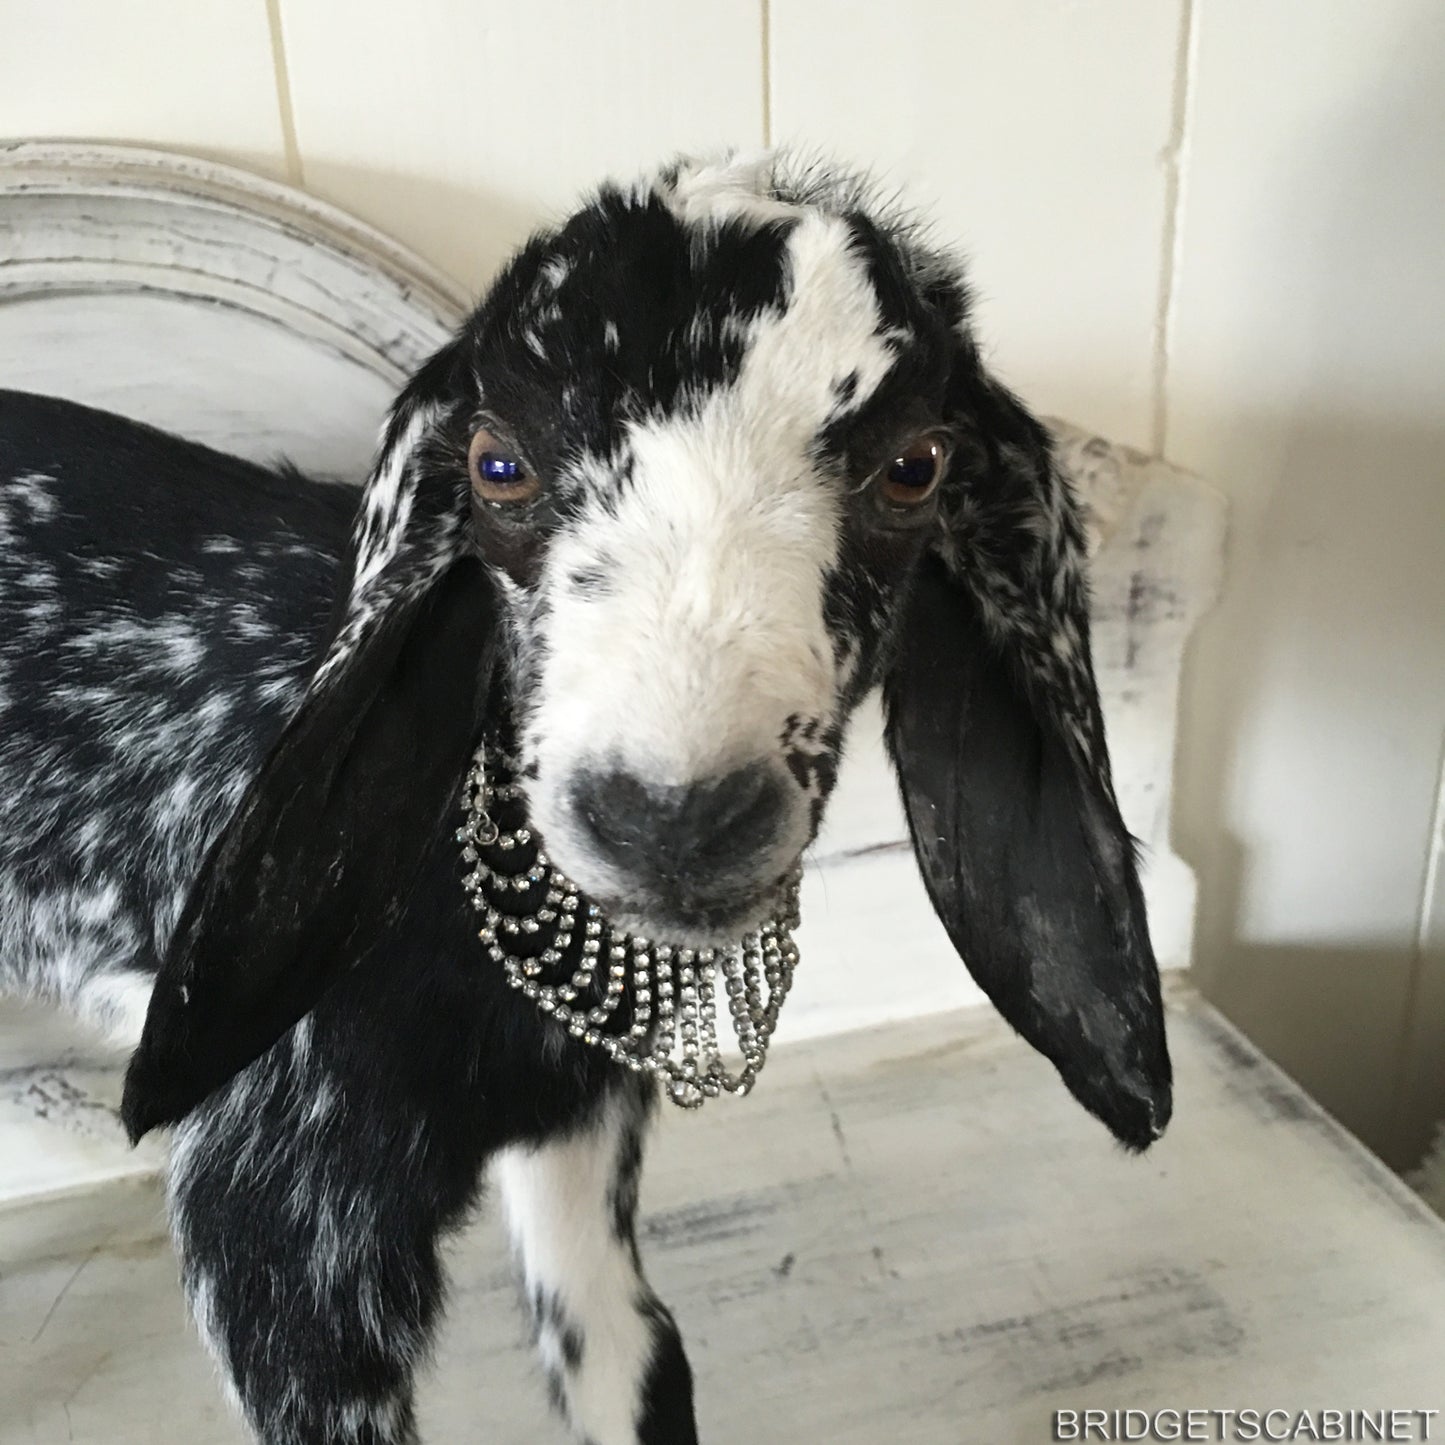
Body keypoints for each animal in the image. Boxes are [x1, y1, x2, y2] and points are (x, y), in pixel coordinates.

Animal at [0, 152, 1171, 1445]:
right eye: (496, 463)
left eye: (913, 467)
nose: (673, 819)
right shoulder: (273, 1221)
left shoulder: (577, 1148)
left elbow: (632, 1357)